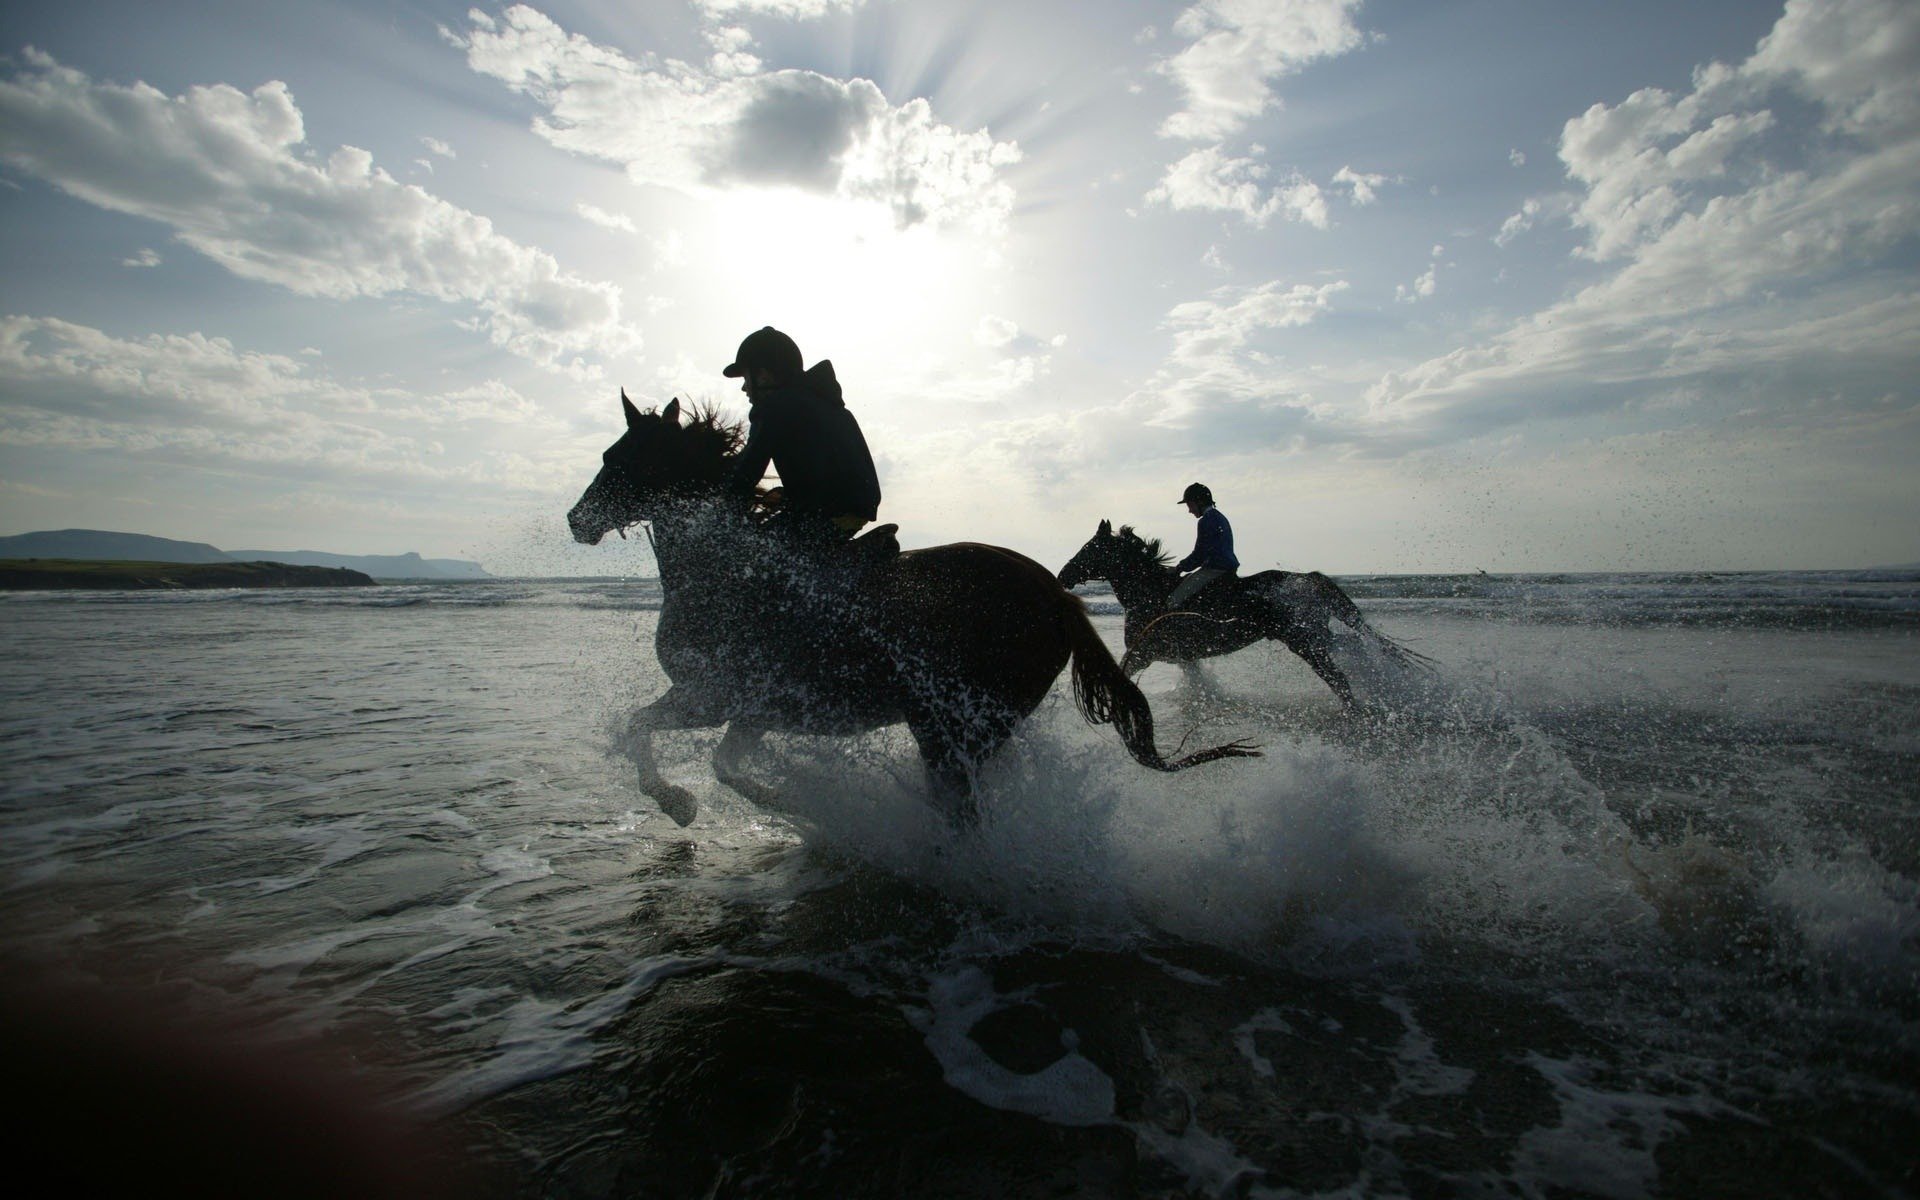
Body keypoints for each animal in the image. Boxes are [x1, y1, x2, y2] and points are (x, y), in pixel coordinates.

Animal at [567, 394, 1258, 829]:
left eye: (618, 457)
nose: (578, 520)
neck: (723, 571)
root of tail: (1057, 596)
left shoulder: (711, 696)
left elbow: (641, 728)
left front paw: (679, 802)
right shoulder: (753, 711)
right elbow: (722, 762)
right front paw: (788, 802)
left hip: (955, 726)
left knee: (962, 808)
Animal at [1056, 520, 1431, 709]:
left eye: (1091, 548)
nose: (1063, 575)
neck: (1150, 594)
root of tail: (1308, 579)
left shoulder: (1145, 653)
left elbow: (1122, 672)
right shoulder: (1183, 656)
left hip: (1303, 641)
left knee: (1338, 678)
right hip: (1316, 634)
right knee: (1350, 648)